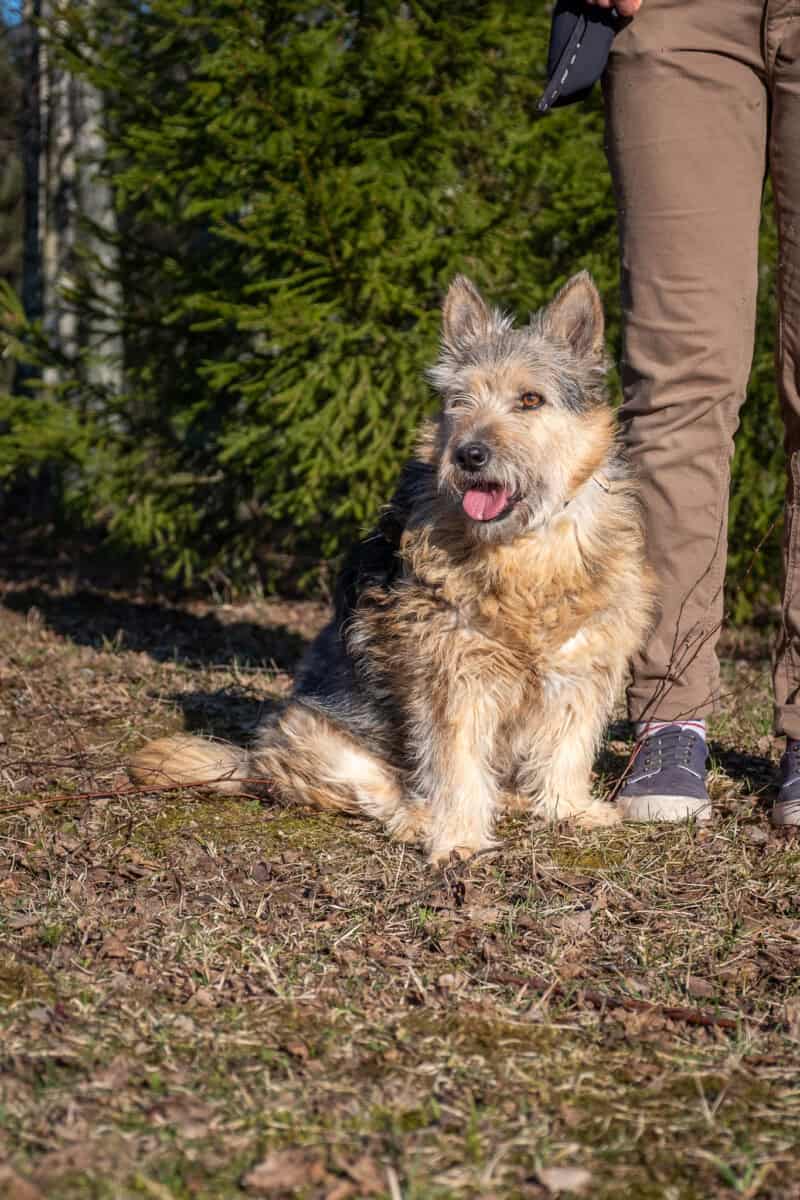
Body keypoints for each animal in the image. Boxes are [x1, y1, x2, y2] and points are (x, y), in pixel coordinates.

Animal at [130, 271, 656, 864]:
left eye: (530, 399)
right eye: (459, 400)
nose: (468, 456)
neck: (522, 548)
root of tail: (255, 764)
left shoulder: (583, 664)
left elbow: (568, 744)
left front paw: (568, 808)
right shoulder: (452, 677)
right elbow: (454, 763)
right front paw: (459, 839)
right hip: (315, 735)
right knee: (381, 792)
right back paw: (420, 819)